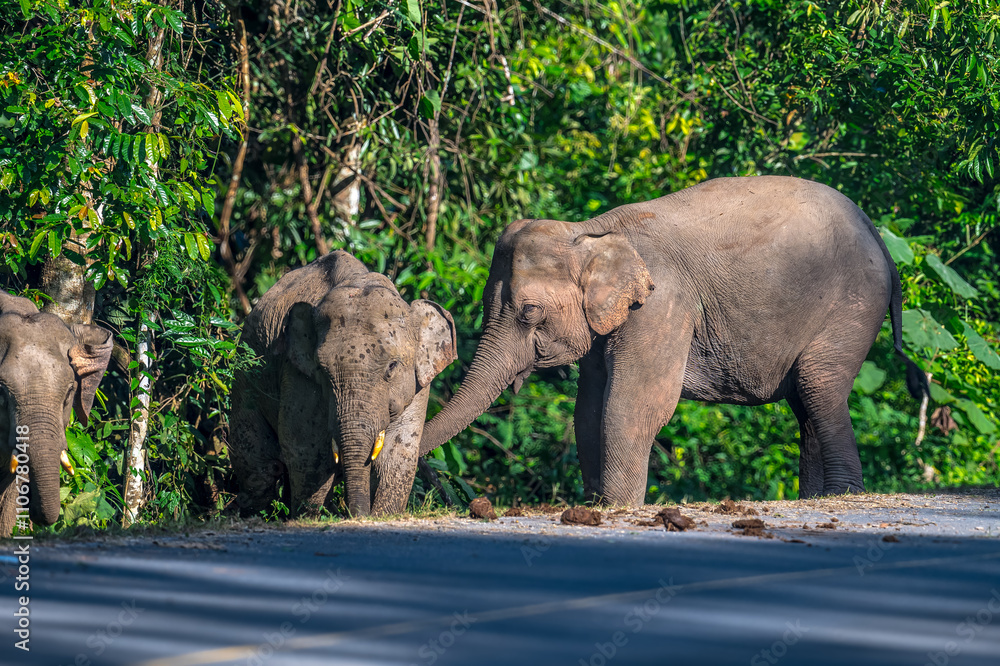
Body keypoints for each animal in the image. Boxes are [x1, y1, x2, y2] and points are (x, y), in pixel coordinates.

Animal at [228, 250, 456, 517]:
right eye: (322, 369)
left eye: (392, 366)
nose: (358, 514)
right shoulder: (296, 375)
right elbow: (307, 450)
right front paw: (309, 518)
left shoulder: (419, 385)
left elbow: (399, 453)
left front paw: (382, 516)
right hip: (245, 378)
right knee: (261, 468)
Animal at [419, 176, 928, 505]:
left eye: (529, 312)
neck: (589, 231)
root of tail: (881, 238)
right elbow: (589, 407)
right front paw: (598, 506)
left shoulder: (663, 305)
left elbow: (634, 404)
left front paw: (619, 508)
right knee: (807, 400)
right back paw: (812, 499)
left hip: (853, 306)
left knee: (817, 385)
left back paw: (841, 496)